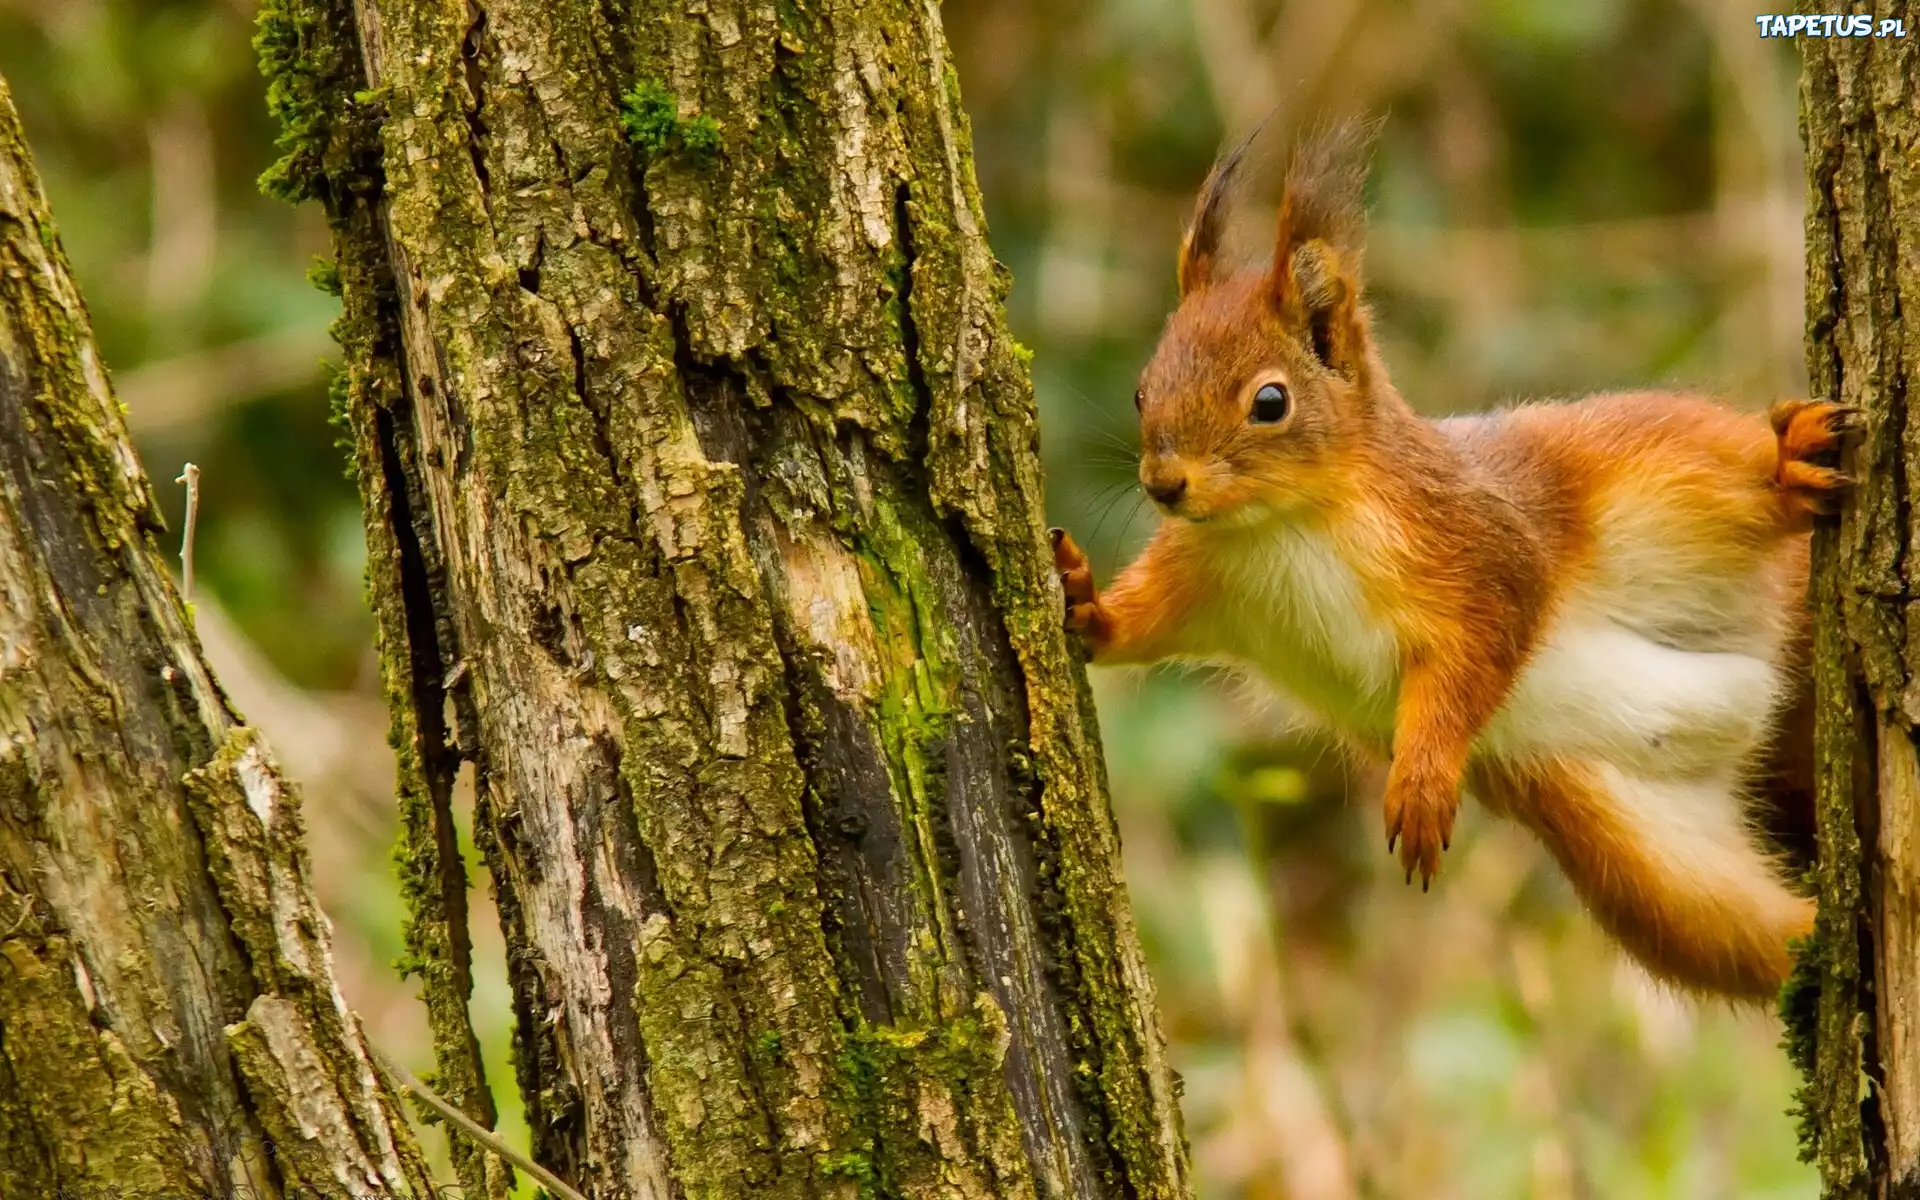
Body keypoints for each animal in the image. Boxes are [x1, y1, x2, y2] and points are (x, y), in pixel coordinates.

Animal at [1059, 121, 1850, 998]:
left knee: (1737, 479)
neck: (1281, 525)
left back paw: (1788, 467)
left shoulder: (1475, 545)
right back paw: (1815, 948)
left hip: (1661, 472)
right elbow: (1143, 625)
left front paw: (1422, 781)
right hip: (1637, 857)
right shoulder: (1204, 579)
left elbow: (1480, 649)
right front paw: (1084, 603)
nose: (1164, 484)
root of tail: (1768, 670)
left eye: (1270, 402)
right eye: (1142, 389)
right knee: (1747, 935)